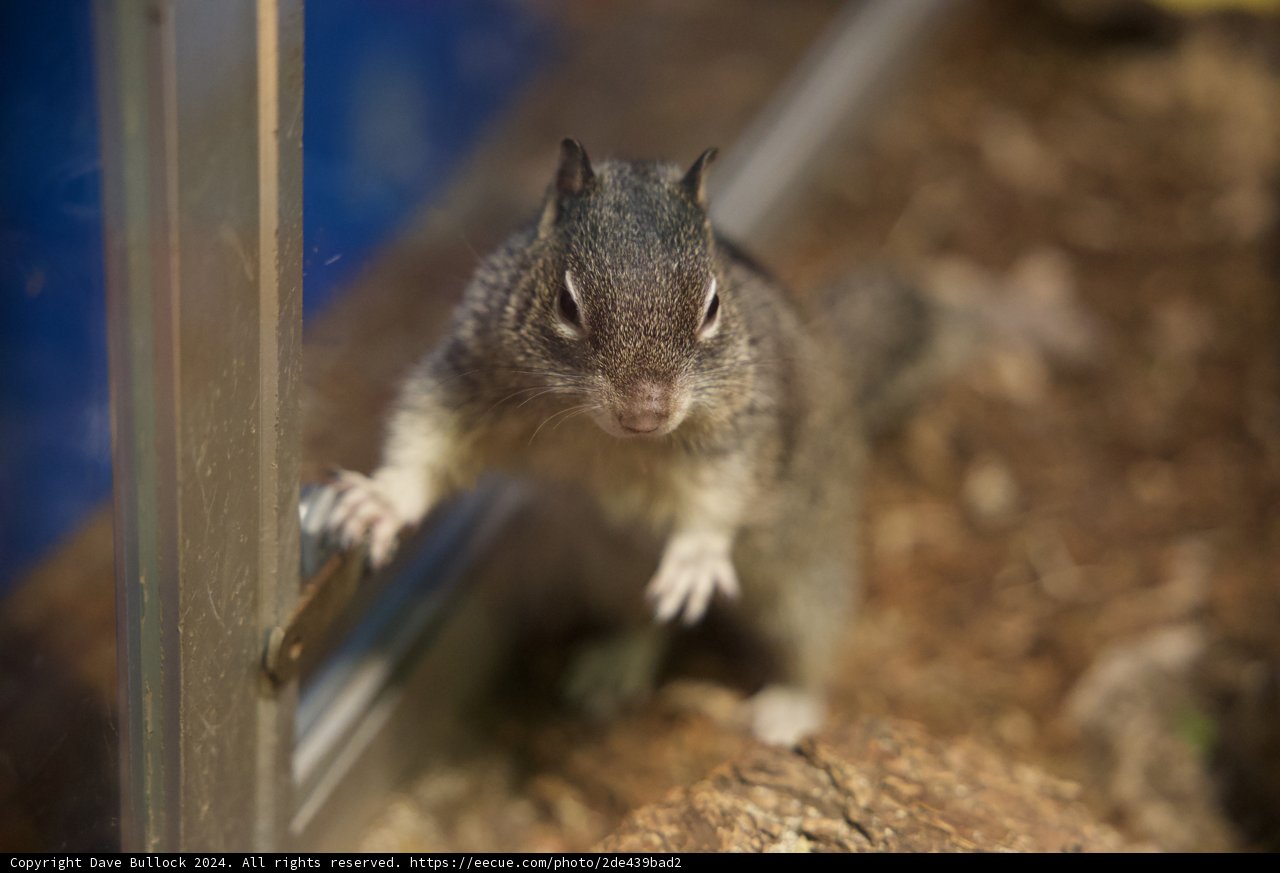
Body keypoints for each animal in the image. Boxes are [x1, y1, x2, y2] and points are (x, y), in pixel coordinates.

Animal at [317, 138, 1005, 745]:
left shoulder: (742, 431)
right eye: (566, 303)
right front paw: (379, 502)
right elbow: (428, 439)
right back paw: (614, 666)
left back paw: (787, 708)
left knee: (812, 642)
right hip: (611, 572)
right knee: (644, 624)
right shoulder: (466, 377)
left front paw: (697, 556)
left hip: (805, 572)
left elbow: (721, 497)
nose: (646, 412)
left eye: (713, 306)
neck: (600, 435)